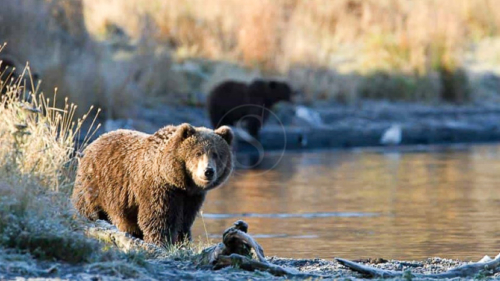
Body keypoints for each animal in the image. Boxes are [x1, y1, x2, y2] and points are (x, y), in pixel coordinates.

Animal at [72, 123, 234, 244]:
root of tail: (92, 144)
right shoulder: (158, 188)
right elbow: (158, 220)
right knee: (87, 208)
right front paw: (161, 243)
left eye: (216, 154)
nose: (208, 171)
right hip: (95, 184)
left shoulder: (191, 197)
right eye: (198, 153)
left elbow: (184, 221)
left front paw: (183, 242)